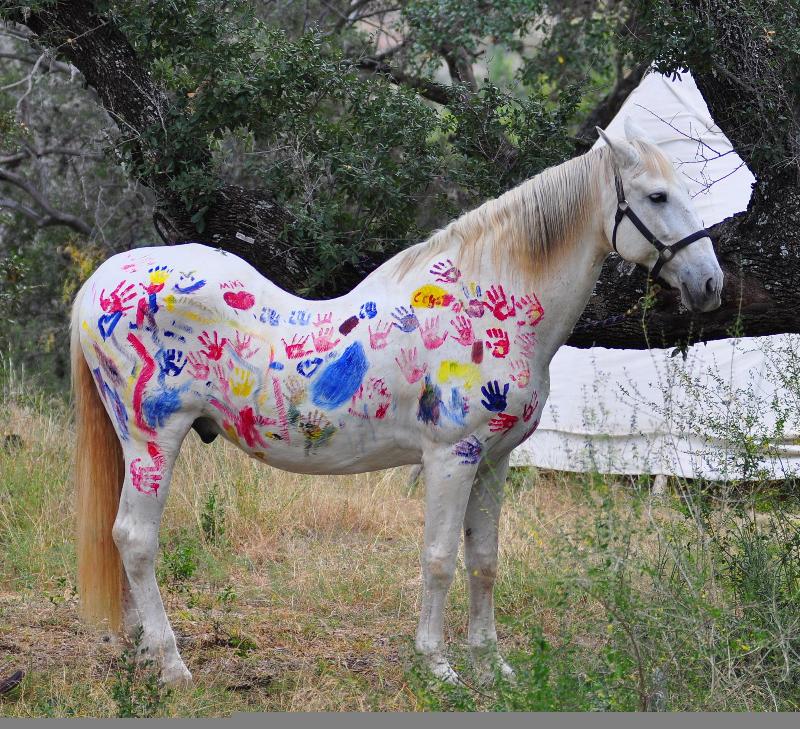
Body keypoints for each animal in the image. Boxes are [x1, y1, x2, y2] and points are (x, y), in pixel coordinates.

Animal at [70, 121, 722, 686]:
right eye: (657, 195)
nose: (711, 285)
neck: (486, 303)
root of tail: (105, 281)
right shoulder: (451, 457)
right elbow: (438, 558)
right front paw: (439, 667)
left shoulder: (494, 460)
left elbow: (483, 559)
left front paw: (493, 667)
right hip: (153, 439)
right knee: (136, 539)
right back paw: (171, 666)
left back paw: (139, 654)